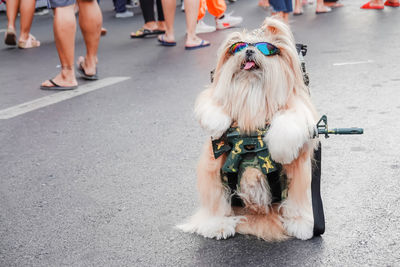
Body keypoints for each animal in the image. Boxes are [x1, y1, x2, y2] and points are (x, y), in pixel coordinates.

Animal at [178, 17, 318, 242]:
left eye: (268, 49)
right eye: (239, 47)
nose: (250, 51)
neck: (252, 93)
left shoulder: (297, 167)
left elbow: (292, 115)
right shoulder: (213, 166)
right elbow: (213, 101)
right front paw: (217, 119)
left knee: (295, 203)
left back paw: (300, 223)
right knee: (217, 205)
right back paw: (217, 224)